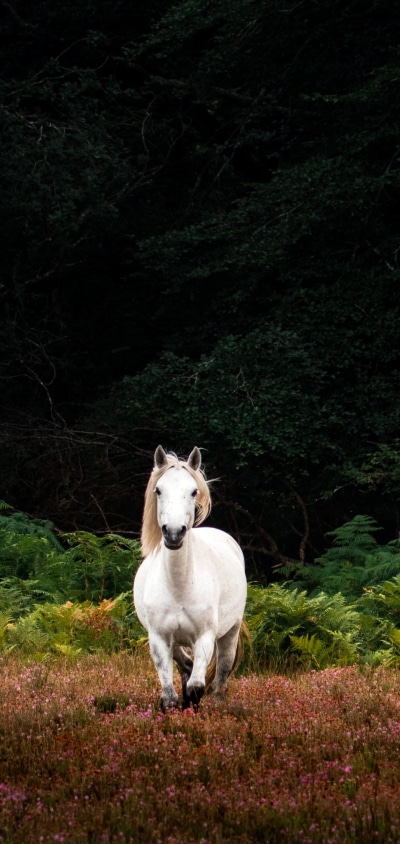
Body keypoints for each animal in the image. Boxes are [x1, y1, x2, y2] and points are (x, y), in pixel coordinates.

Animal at [133, 445, 247, 712]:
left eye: (193, 491)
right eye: (158, 490)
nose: (174, 533)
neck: (179, 586)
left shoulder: (204, 637)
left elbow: (197, 687)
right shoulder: (159, 638)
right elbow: (169, 697)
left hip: (230, 631)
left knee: (221, 673)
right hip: (175, 642)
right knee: (185, 665)